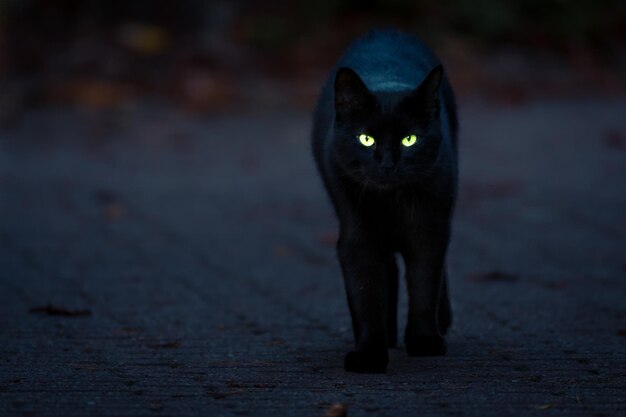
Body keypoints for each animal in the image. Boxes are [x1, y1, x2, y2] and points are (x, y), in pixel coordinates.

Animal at [310, 30, 456, 372]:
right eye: (366, 139)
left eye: (409, 139)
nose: (388, 163)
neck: (392, 203)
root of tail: (385, 30)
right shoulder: (357, 237)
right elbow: (366, 293)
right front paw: (369, 353)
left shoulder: (428, 229)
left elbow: (425, 283)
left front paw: (425, 341)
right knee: (387, 270)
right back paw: (387, 335)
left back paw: (441, 321)